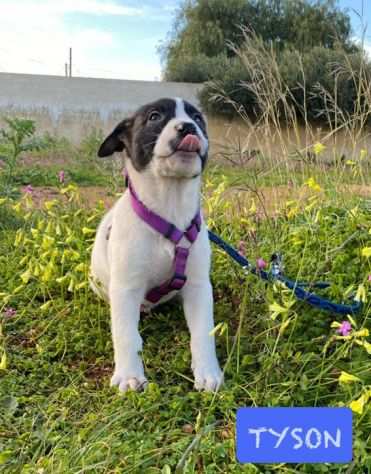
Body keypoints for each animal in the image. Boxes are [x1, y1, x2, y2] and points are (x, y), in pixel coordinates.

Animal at [90, 97, 224, 392]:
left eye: (198, 118)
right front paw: (129, 375)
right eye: (154, 117)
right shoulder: (126, 288)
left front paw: (208, 371)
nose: (188, 127)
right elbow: (126, 334)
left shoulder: (198, 287)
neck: (169, 208)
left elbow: (203, 332)